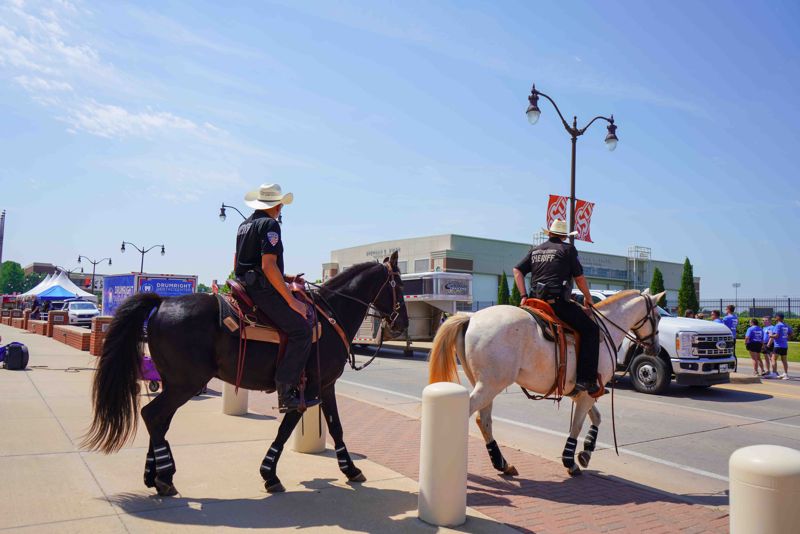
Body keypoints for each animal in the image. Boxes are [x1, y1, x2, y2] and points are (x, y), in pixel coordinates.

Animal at [83, 253, 406, 496]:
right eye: (400, 284)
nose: (402, 323)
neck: (331, 316)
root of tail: (162, 303)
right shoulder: (312, 386)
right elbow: (290, 428)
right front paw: (271, 474)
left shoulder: (319, 386)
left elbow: (333, 427)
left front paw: (349, 469)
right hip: (185, 383)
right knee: (154, 416)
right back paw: (163, 477)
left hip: (175, 383)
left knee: (158, 420)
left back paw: (156, 475)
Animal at [428, 292, 664, 480]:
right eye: (659, 316)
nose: (655, 349)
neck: (603, 332)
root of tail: (471, 317)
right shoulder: (587, 394)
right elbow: (577, 426)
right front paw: (571, 461)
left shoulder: (581, 393)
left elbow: (596, 418)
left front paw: (586, 452)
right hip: (489, 386)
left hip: (485, 385)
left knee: (483, 420)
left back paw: (503, 464)